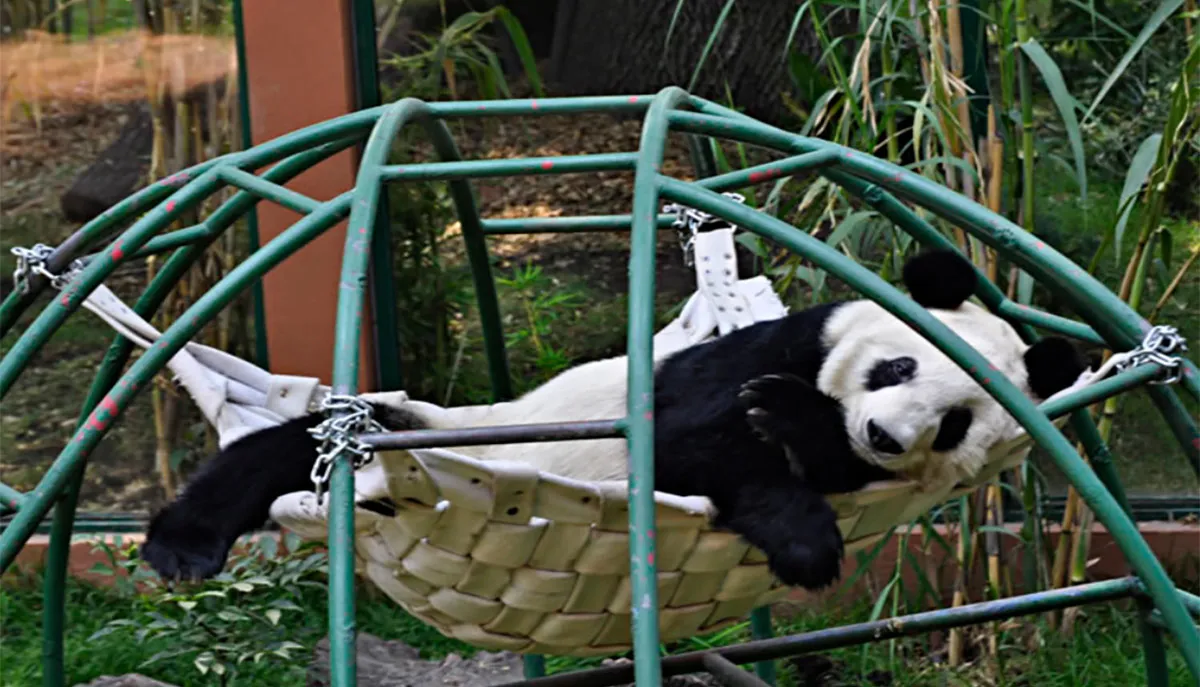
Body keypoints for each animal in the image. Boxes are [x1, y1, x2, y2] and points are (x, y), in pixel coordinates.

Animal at [138, 249, 1089, 593]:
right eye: (899, 367)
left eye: (957, 422)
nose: (885, 435)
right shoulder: (744, 355)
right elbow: (688, 439)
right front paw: (805, 528)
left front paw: (802, 435)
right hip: (411, 428)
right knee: (273, 452)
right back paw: (181, 545)